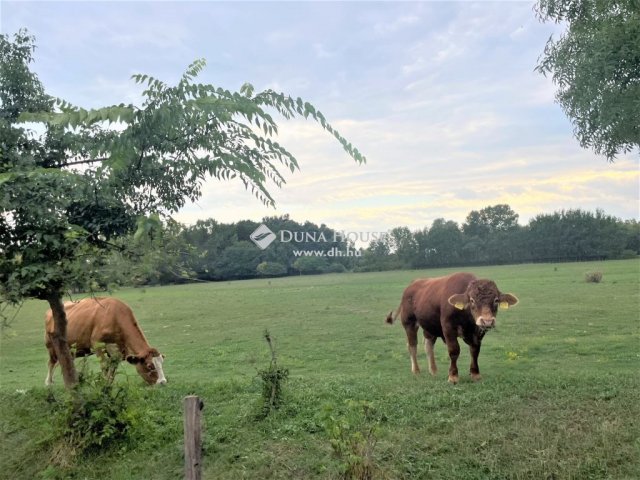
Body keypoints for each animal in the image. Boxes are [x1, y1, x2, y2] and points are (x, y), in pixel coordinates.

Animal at [384, 272, 516, 384]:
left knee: (428, 345)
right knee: (412, 345)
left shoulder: (477, 332)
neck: (467, 319)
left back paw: (433, 370)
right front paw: (453, 376)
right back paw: (416, 370)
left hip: (429, 325)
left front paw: (475, 374)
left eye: (496, 300)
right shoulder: (448, 328)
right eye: (472, 300)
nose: (487, 321)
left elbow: (475, 351)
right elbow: (454, 350)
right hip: (409, 323)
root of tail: (412, 284)